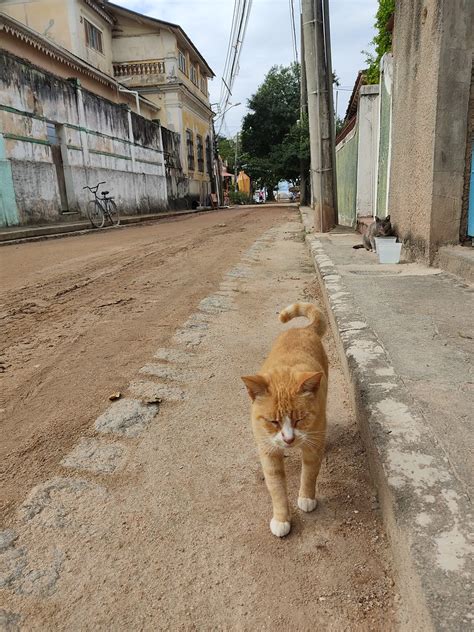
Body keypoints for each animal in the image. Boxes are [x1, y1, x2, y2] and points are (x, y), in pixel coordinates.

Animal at [243, 302, 328, 540]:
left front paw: (306, 498)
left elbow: (309, 474)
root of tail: (302, 329)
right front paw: (281, 519)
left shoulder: (312, 448)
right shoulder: (268, 452)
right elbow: (277, 488)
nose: (289, 440)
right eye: (273, 421)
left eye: (300, 419)